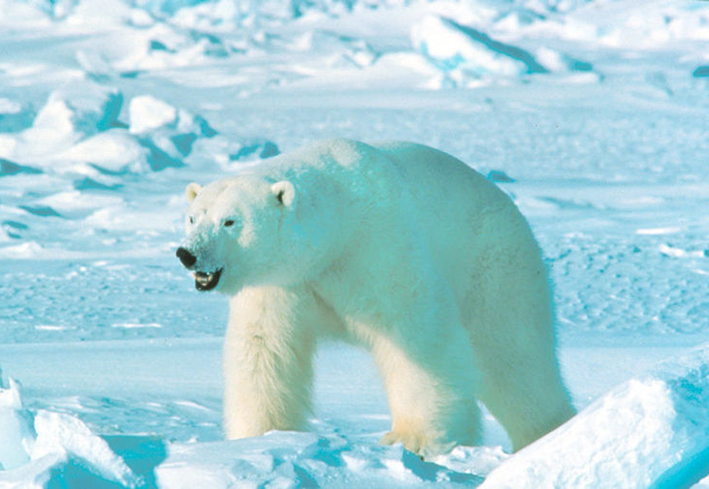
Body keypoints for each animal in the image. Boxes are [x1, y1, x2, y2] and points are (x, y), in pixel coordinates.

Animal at [176, 138, 576, 458]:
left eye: (230, 221)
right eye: (193, 218)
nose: (187, 254)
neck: (337, 231)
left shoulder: (378, 248)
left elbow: (416, 337)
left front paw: (413, 438)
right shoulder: (282, 282)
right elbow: (265, 346)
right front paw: (260, 437)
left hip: (495, 268)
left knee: (515, 357)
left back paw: (546, 435)